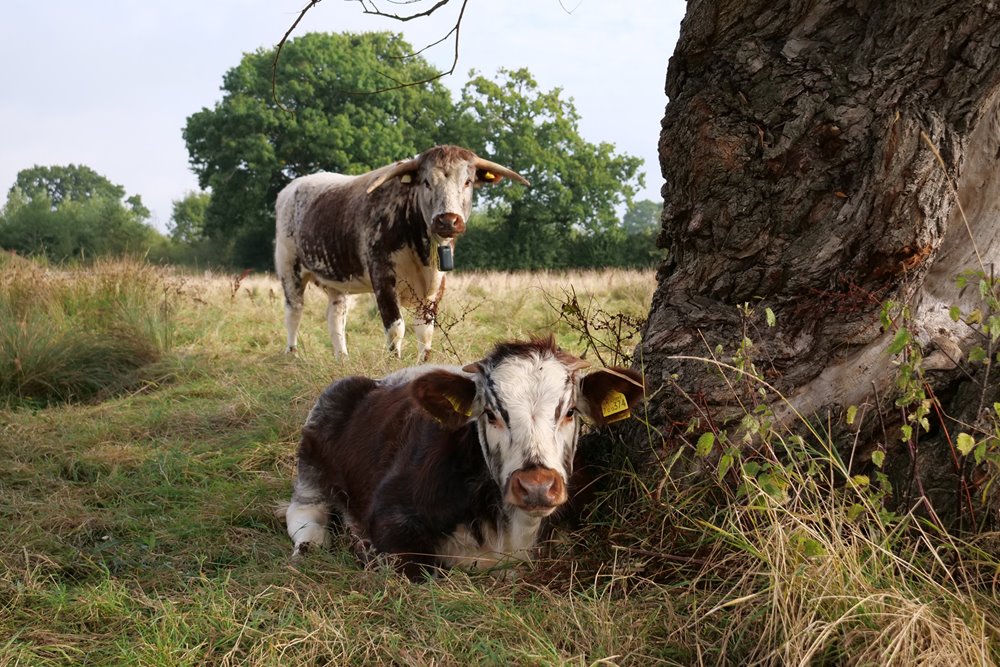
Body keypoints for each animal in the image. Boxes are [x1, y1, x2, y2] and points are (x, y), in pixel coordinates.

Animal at [270, 146, 528, 362]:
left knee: (336, 317)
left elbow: (425, 331)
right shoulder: (383, 278)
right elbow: (396, 328)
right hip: (289, 267)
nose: (447, 220)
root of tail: (292, 187)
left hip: (338, 279)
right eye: (426, 182)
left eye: (467, 181)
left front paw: (423, 362)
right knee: (294, 310)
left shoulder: (436, 286)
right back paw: (291, 354)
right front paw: (394, 363)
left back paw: (342, 358)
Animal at [284, 340, 640, 580]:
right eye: (490, 414)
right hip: (314, 453)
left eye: (570, 412)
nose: (536, 486)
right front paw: (364, 548)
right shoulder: (391, 513)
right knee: (305, 514)